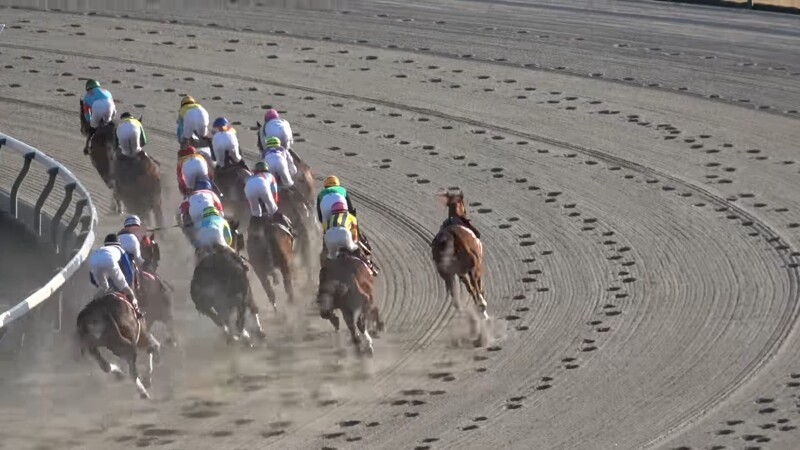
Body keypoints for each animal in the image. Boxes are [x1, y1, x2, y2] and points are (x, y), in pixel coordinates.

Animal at [432, 190, 488, 320]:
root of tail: (452, 236)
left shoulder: (460, 273)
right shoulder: (473, 269)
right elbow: (478, 287)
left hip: (448, 275)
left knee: (457, 297)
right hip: (473, 268)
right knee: (475, 288)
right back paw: (482, 308)